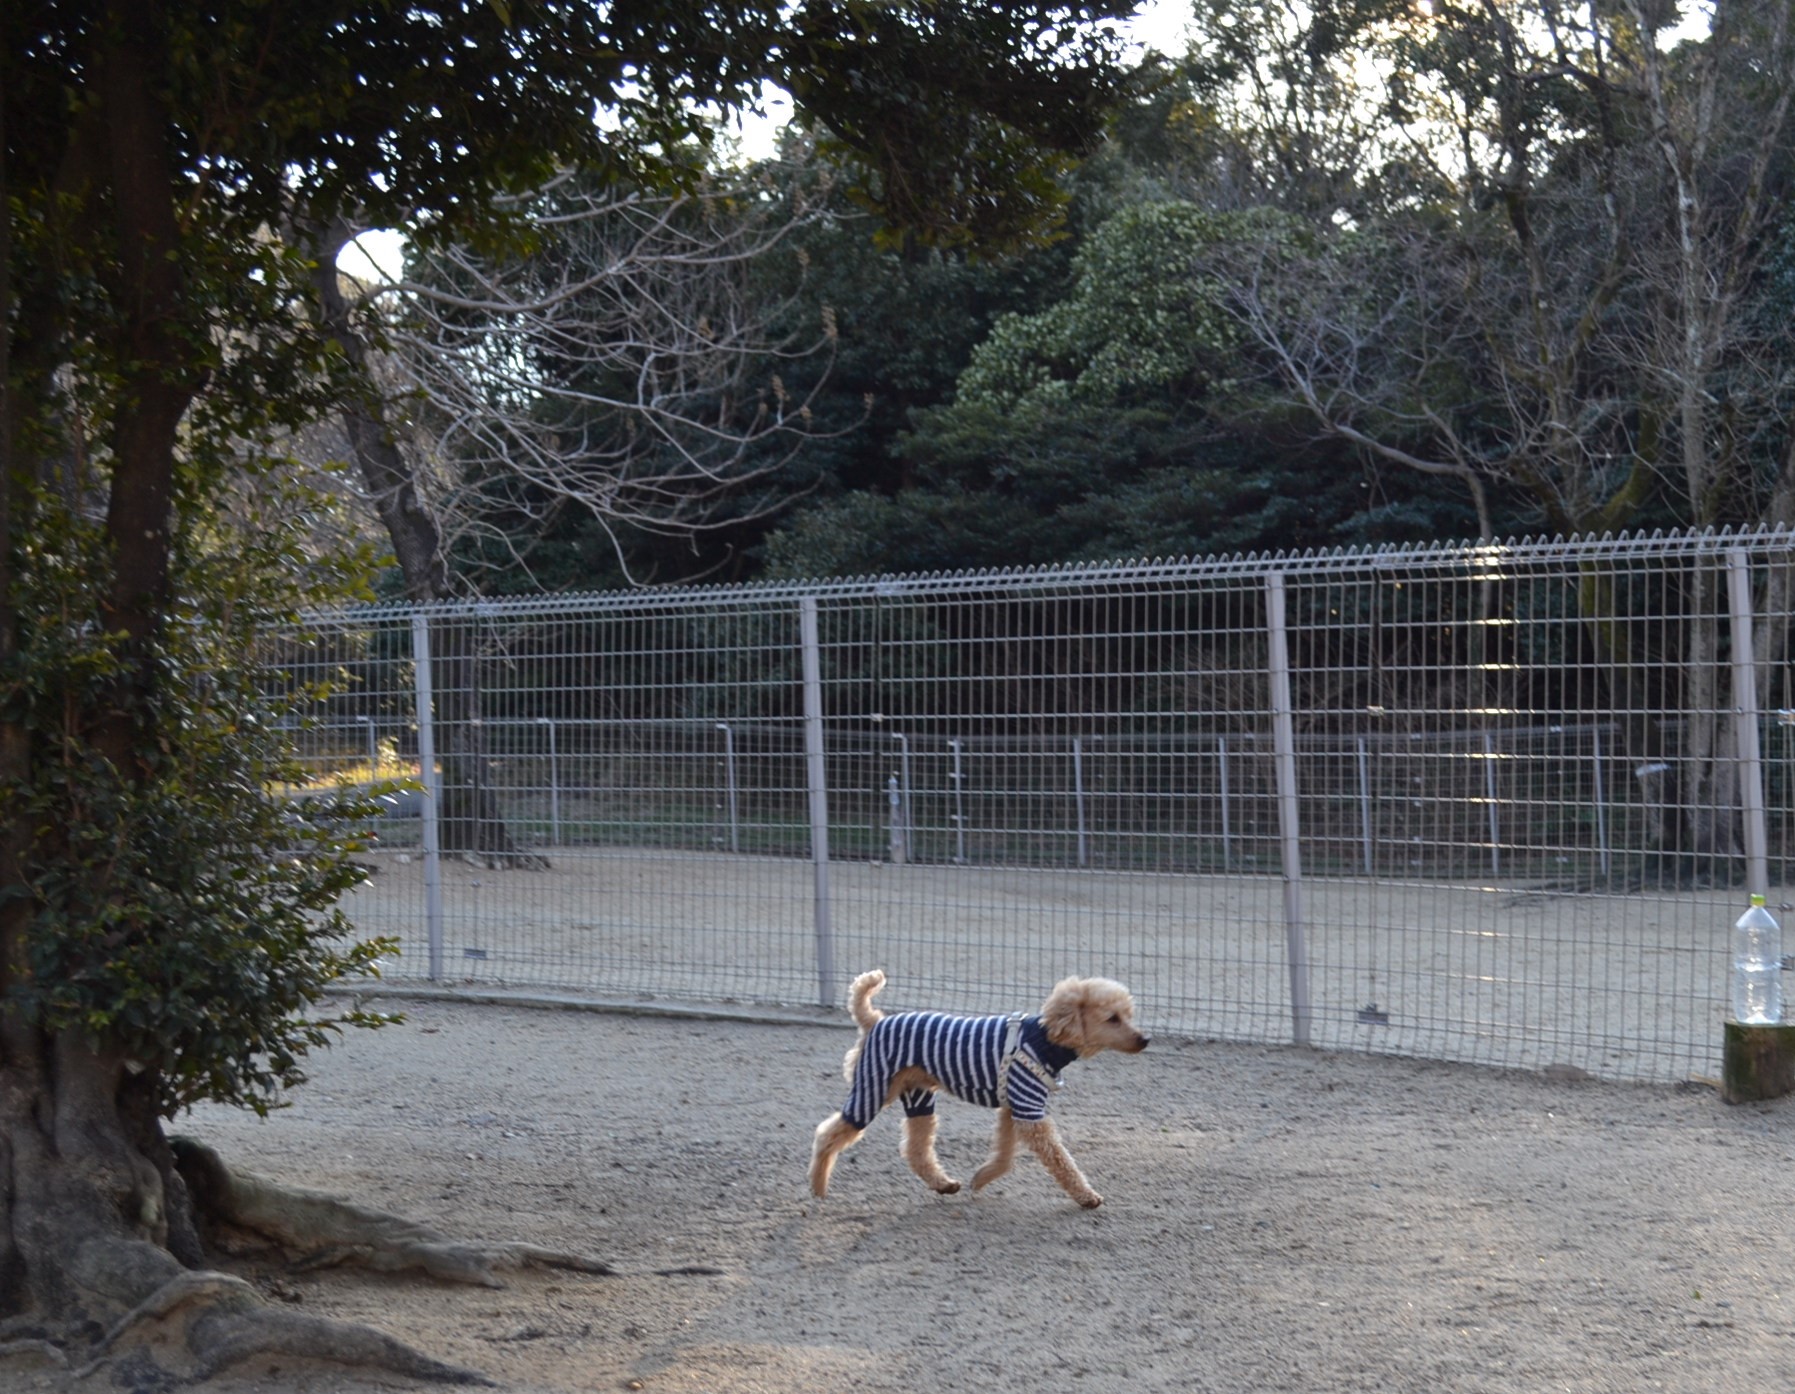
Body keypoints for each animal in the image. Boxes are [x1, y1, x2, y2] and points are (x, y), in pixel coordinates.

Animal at [804, 968, 1141, 1205]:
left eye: (1128, 1015)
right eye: (1112, 1018)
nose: (1145, 1039)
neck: (1044, 1039)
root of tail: (875, 1021)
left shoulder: (1012, 1109)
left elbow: (1005, 1155)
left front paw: (980, 1179)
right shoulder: (1029, 1109)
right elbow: (1060, 1159)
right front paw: (1086, 1196)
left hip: (918, 1099)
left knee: (916, 1149)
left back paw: (942, 1184)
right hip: (873, 1090)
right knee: (828, 1135)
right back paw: (818, 1187)